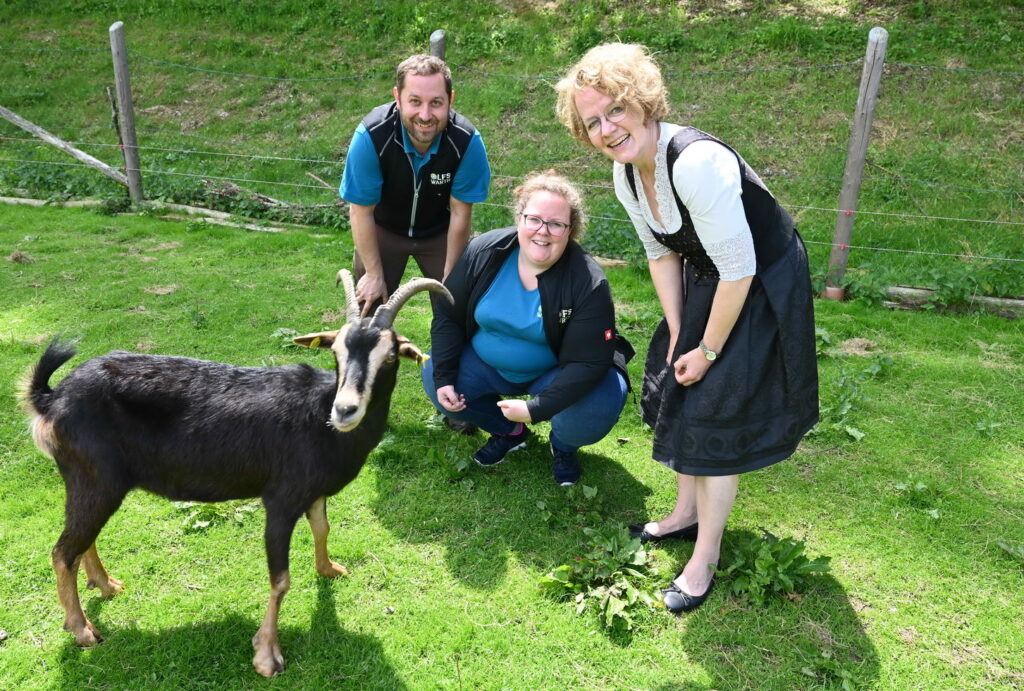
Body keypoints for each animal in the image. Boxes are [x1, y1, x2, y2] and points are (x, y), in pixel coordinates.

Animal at [18, 268, 452, 675]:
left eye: (391, 356)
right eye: (336, 352)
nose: (345, 410)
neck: (319, 418)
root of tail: (52, 399)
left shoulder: (313, 491)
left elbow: (322, 528)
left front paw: (328, 568)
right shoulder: (281, 499)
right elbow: (281, 579)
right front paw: (266, 655)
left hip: (93, 482)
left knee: (81, 537)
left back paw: (106, 585)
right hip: (95, 478)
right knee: (63, 551)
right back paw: (82, 629)